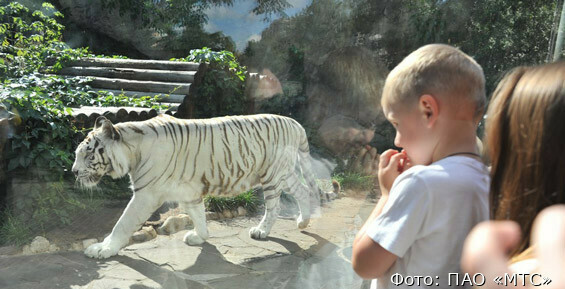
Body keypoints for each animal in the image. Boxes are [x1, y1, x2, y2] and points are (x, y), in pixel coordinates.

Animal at [70, 113, 322, 258]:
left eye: (88, 155)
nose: (73, 171)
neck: (133, 151)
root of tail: (295, 123)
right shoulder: (188, 191)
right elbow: (198, 213)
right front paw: (200, 237)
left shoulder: (147, 193)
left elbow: (123, 223)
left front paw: (103, 249)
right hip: (283, 173)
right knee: (302, 190)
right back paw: (303, 221)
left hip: (271, 174)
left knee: (274, 206)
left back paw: (261, 231)